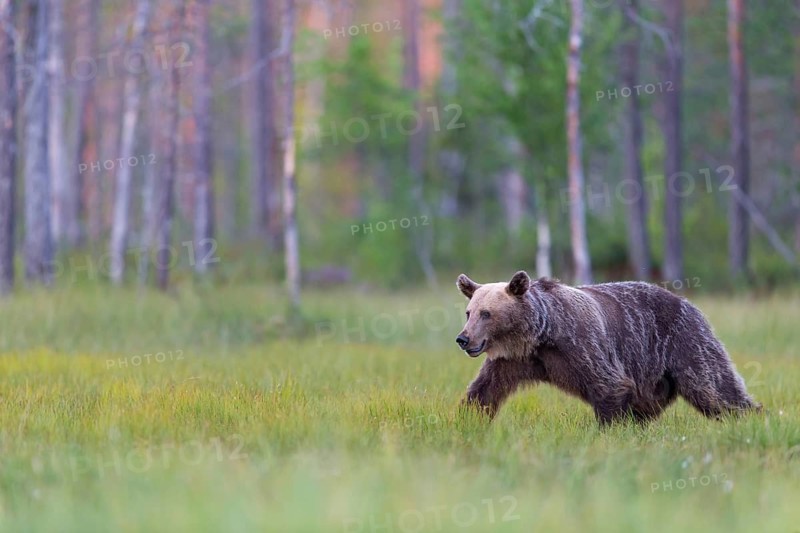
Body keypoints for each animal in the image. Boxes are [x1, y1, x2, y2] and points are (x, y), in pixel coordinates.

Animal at [455, 270, 760, 424]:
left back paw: (751, 415)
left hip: (684, 341)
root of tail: (688, 302)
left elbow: (609, 384)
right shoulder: (514, 360)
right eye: (469, 312)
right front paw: (467, 419)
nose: (463, 339)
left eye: (486, 314)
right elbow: (485, 389)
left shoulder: (581, 345)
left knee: (714, 388)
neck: (539, 334)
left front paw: (609, 428)